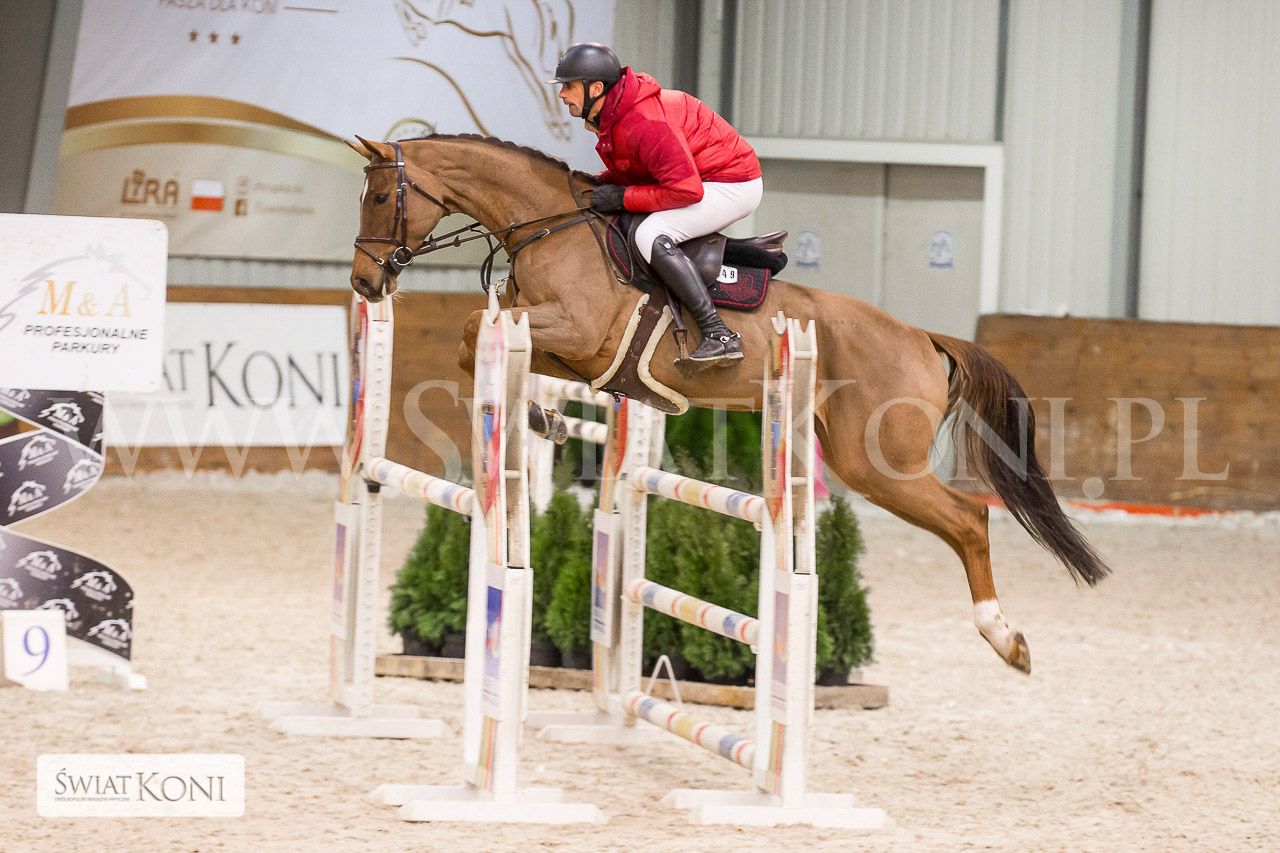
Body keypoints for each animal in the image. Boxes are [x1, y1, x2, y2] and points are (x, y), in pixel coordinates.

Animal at [346, 133, 1110, 675]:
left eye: (380, 199)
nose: (362, 282)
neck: (551, 226)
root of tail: (922, 336)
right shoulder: (565, 346)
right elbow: (488, 344)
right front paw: (544, 416)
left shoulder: (581, 332)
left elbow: (471, 331)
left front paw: (540, 415)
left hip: (876, 463)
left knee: (969, 518)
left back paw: (1005, 638)